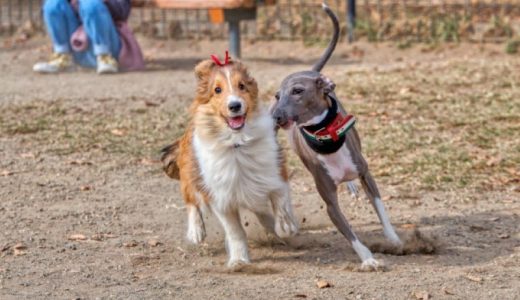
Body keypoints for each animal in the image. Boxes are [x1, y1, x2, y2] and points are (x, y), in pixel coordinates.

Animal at [160, 54, 298, 268]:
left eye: (242, 86)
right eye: (217, 90)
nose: (235, 105)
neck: (237, 143)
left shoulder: (273, 173)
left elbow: (280, 200)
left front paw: (285, 227)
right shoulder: (221, 196)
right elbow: (235, 231)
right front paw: (239, 260)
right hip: (192, 172)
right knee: (191, 199)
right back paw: (196, 231)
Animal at [270, 2, 404, 270]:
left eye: (297, 91)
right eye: (277, 96)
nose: (276, 116)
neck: (327, 137)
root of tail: (310, 70)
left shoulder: (366, 174)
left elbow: (381, 209)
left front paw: (393, 238)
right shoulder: (330, 204)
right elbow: (350, 233)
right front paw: (368, 258)